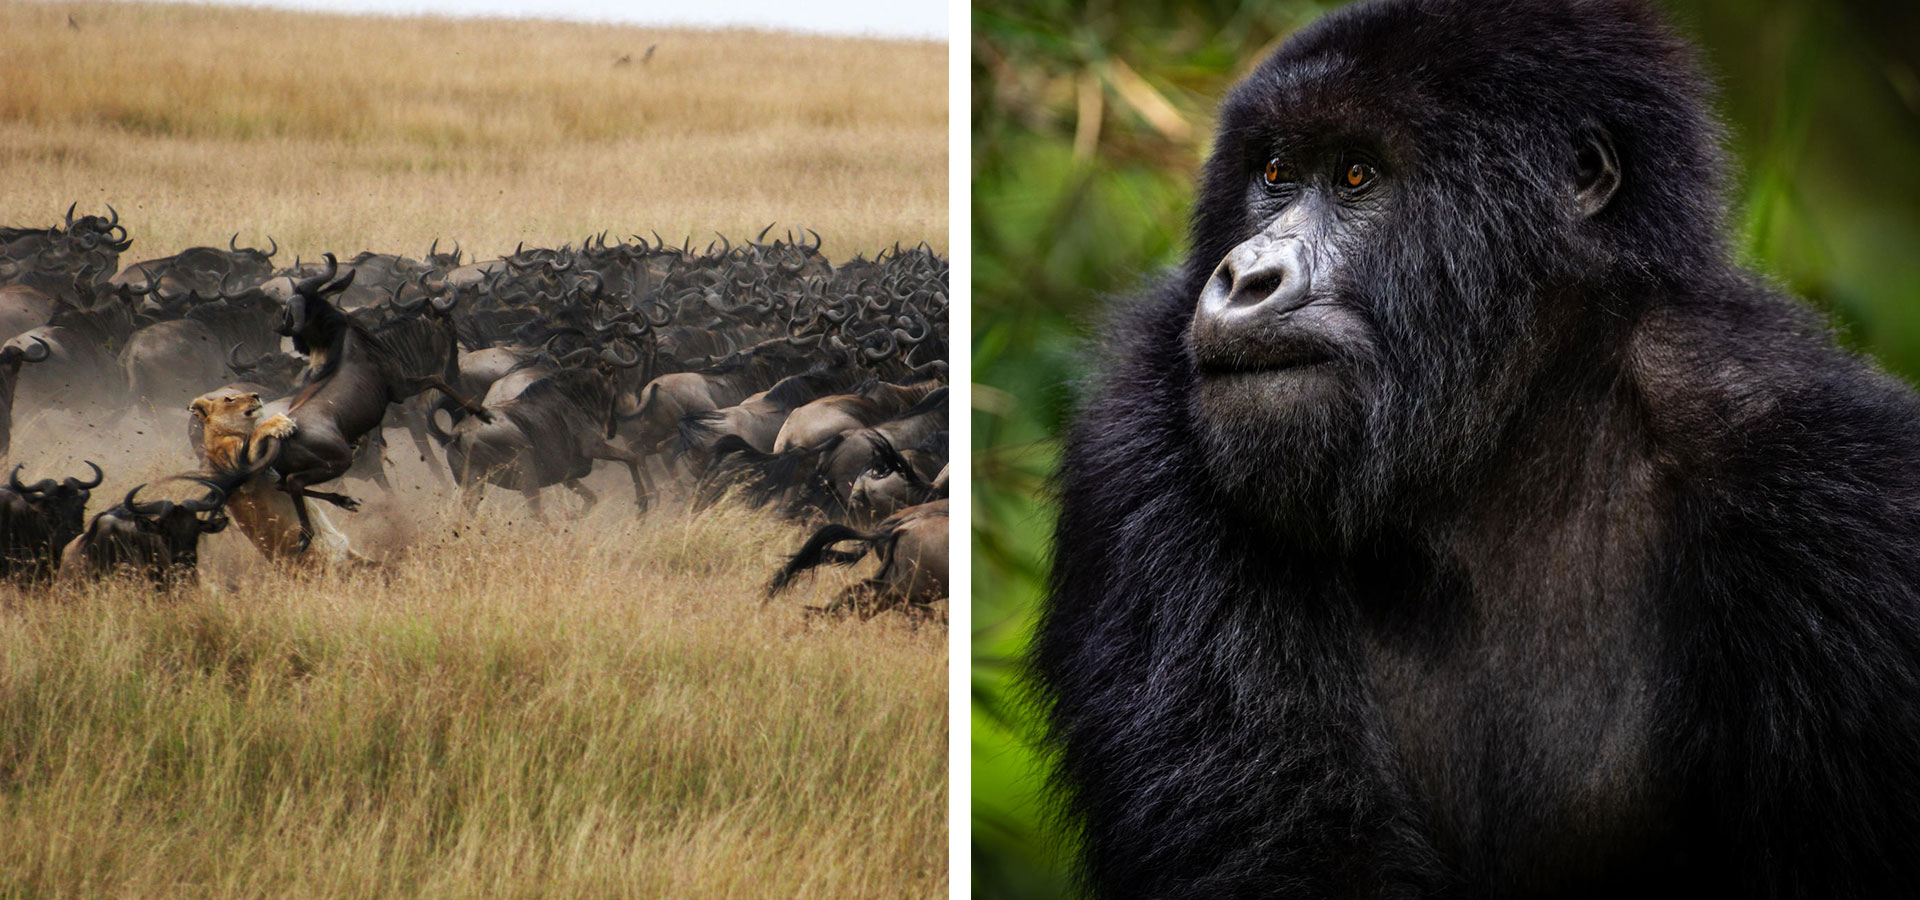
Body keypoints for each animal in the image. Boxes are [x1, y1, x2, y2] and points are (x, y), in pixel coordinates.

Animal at [189, 387, 360, 566]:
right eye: (229, 399)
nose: (256, 395)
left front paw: (343, 500)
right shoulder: (239, 475)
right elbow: (257, 435)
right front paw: (280, 422)